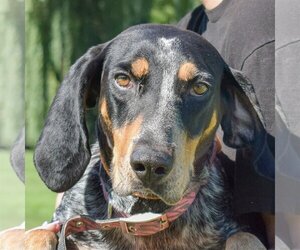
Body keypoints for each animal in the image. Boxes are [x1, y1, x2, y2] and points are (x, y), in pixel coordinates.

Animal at [31, 23, 266, 250]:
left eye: (200, 88)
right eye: (123, 80)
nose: (151, 164)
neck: (145, 219)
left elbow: (244, 237)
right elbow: (38, 234)